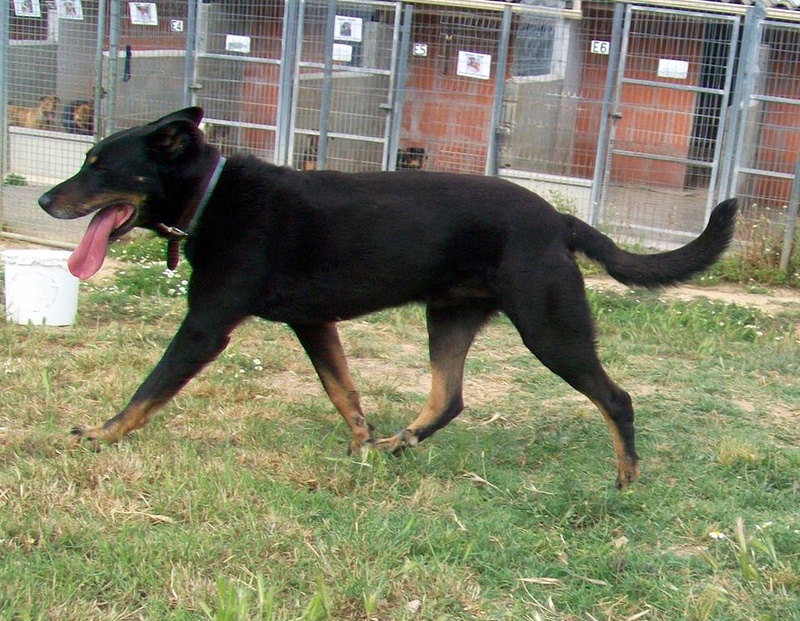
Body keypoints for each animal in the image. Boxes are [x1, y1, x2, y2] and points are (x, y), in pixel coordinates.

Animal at [39, 110, 736, 490]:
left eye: (100, 165)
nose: (47, 199)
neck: (211, 194)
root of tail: (558, 220)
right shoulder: (314, 322)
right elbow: (343, 391)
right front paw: (361, 443)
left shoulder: (204, 327)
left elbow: (147, 391)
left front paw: (98, 435)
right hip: (450, 316)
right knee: (448, 399)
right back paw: (398, 443)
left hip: (550, 327)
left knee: (615, 399)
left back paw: (625, 479)